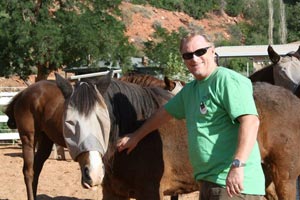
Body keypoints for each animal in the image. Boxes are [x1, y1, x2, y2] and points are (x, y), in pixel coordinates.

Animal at [55, 72, 300, 200]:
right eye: (69, 122)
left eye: (102, 120)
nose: (92, 173)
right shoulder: (113, 194)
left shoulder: (150, 193)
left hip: (285, 179)